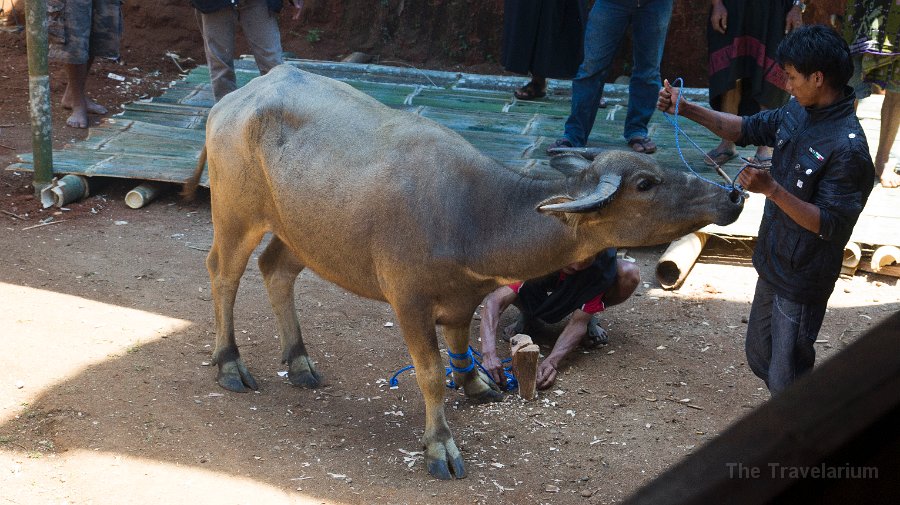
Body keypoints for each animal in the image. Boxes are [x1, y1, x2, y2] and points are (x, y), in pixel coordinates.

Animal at [181, 64, 740, 480]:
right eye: (645, 183)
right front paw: (440, 447)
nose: (732, 194)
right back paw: (230, 364)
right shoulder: (407, 299)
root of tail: (233, 100)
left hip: (305, 232)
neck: (472, 214)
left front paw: (476, 384)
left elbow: (460, 345)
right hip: (235, 212)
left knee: (275, 269)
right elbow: (429, 373)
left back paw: (299, 362)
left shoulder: (462, 296)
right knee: (222, 273)